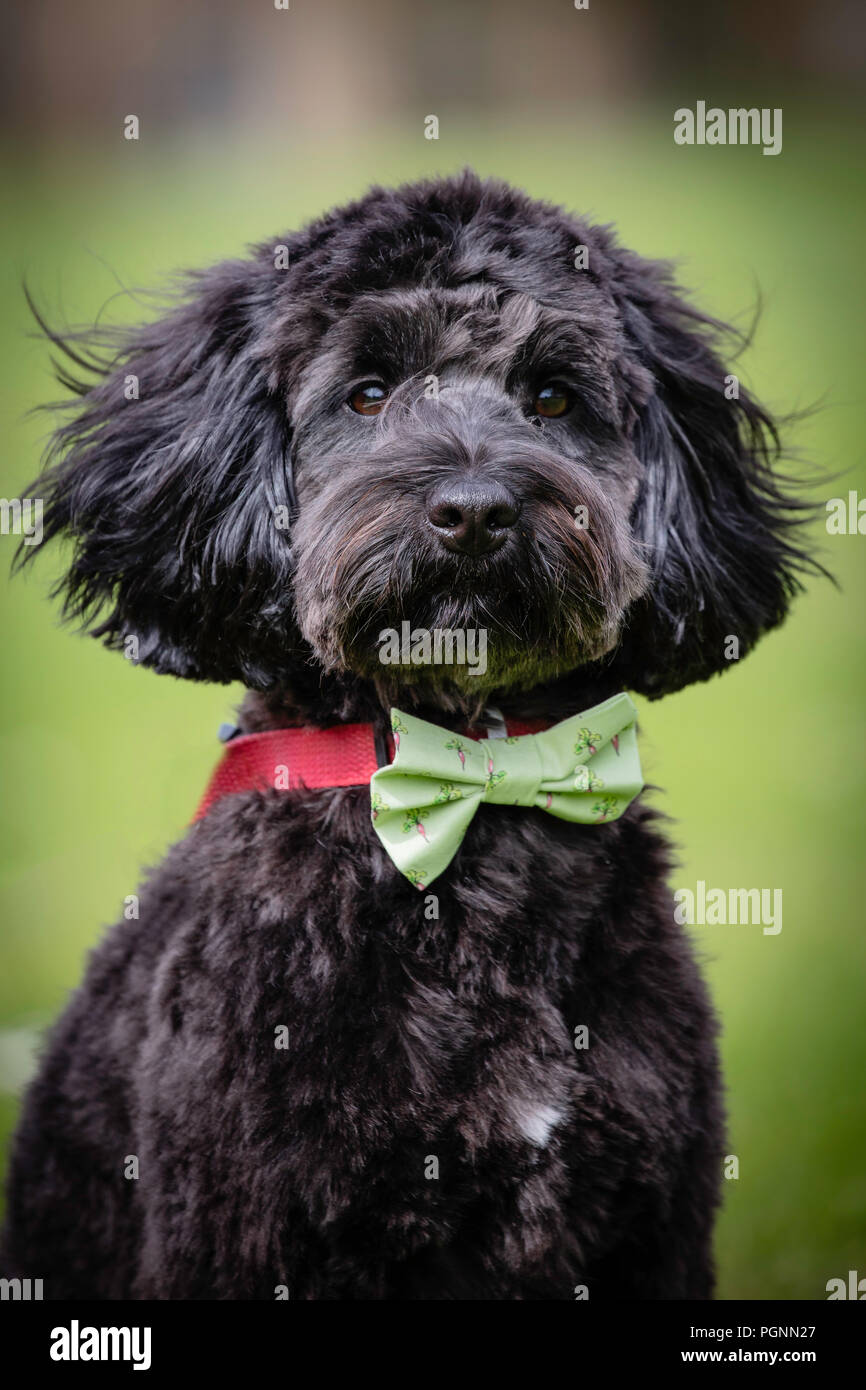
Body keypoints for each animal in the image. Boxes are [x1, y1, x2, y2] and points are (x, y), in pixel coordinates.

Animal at [3, 176, 811, 1301]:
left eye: (552, 397)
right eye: (368, 393)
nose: (473, 510)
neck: (471, 770)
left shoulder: (651, 1229)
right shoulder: (241, 1232)